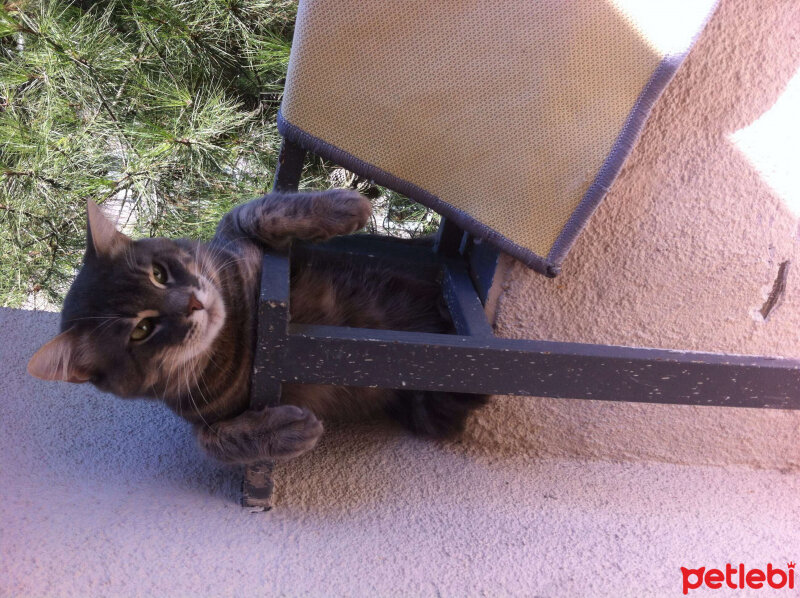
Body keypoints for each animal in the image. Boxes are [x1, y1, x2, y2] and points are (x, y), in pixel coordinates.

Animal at [26, 195, 488, 466]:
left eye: (158, 273)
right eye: (140, 330)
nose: (192, 304)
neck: (238, 330)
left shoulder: (237, 232)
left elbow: (261, 208)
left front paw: (344, 205)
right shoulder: (204, 417)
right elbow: (213, 442)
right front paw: (287, 431)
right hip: (422, 407)